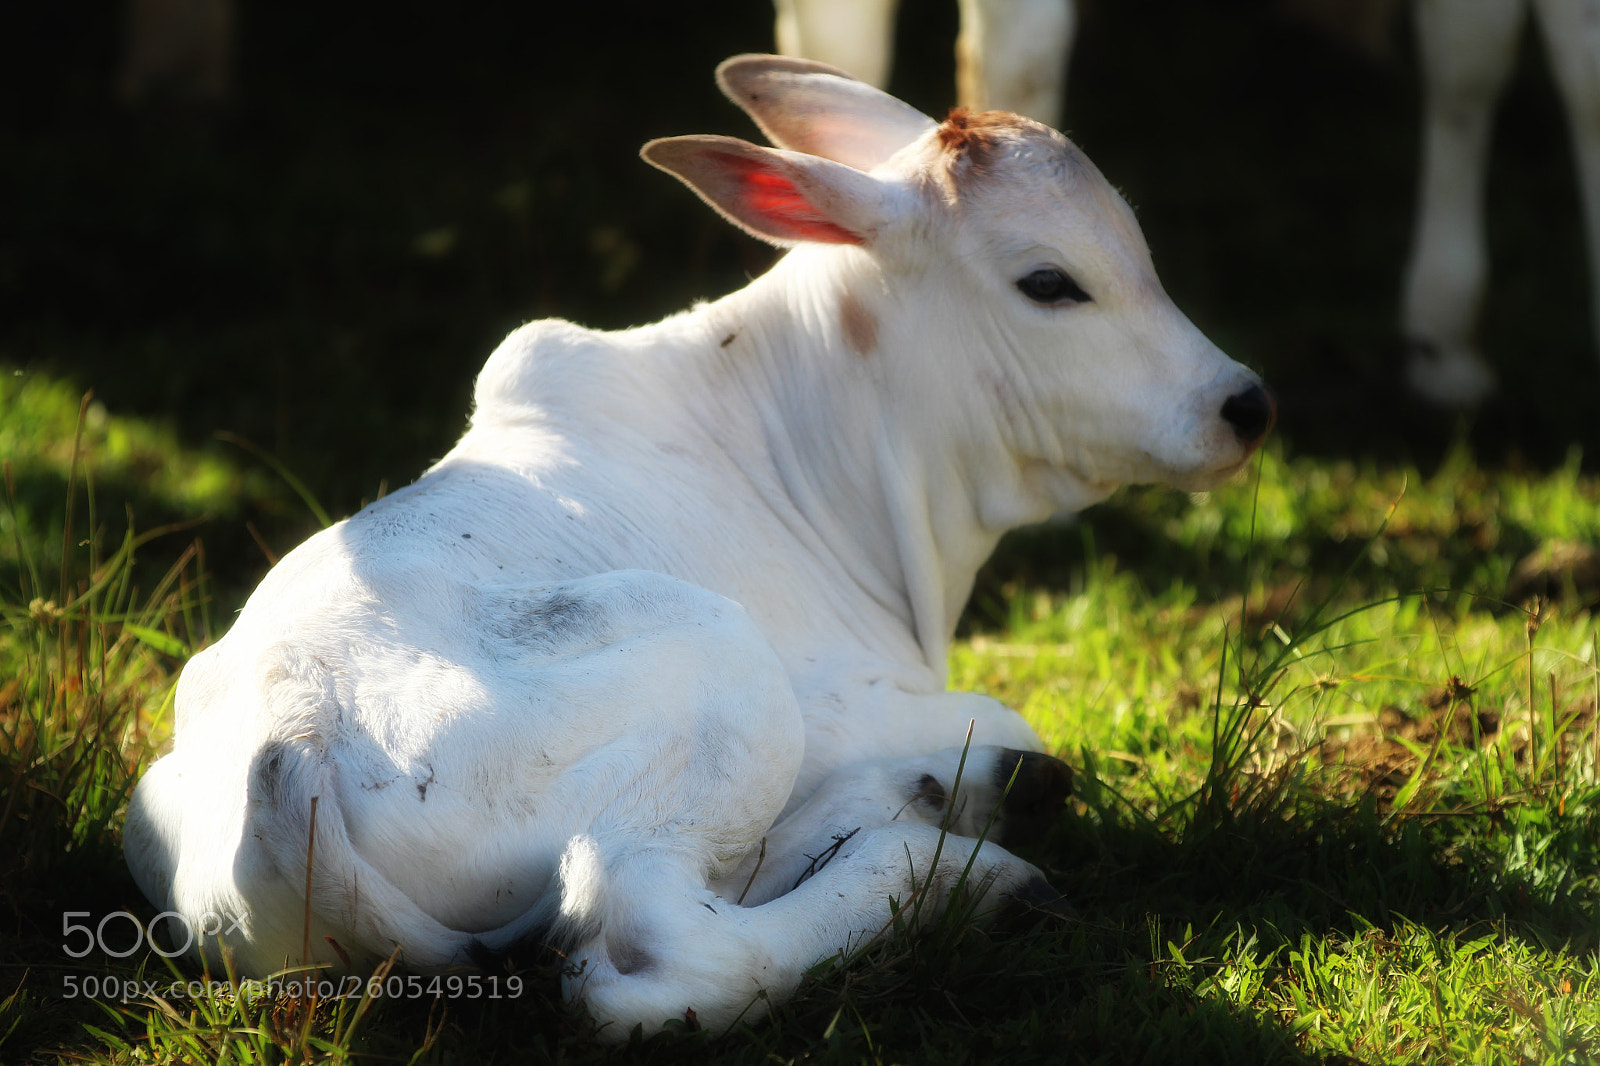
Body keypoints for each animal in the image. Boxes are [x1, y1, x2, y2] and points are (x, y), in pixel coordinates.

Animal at [123, 54, 1274, 1040]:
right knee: (662, 936)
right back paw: (954, 866)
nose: (1243, 403)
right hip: (725, 669)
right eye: (1049, 282)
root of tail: (291, 752)